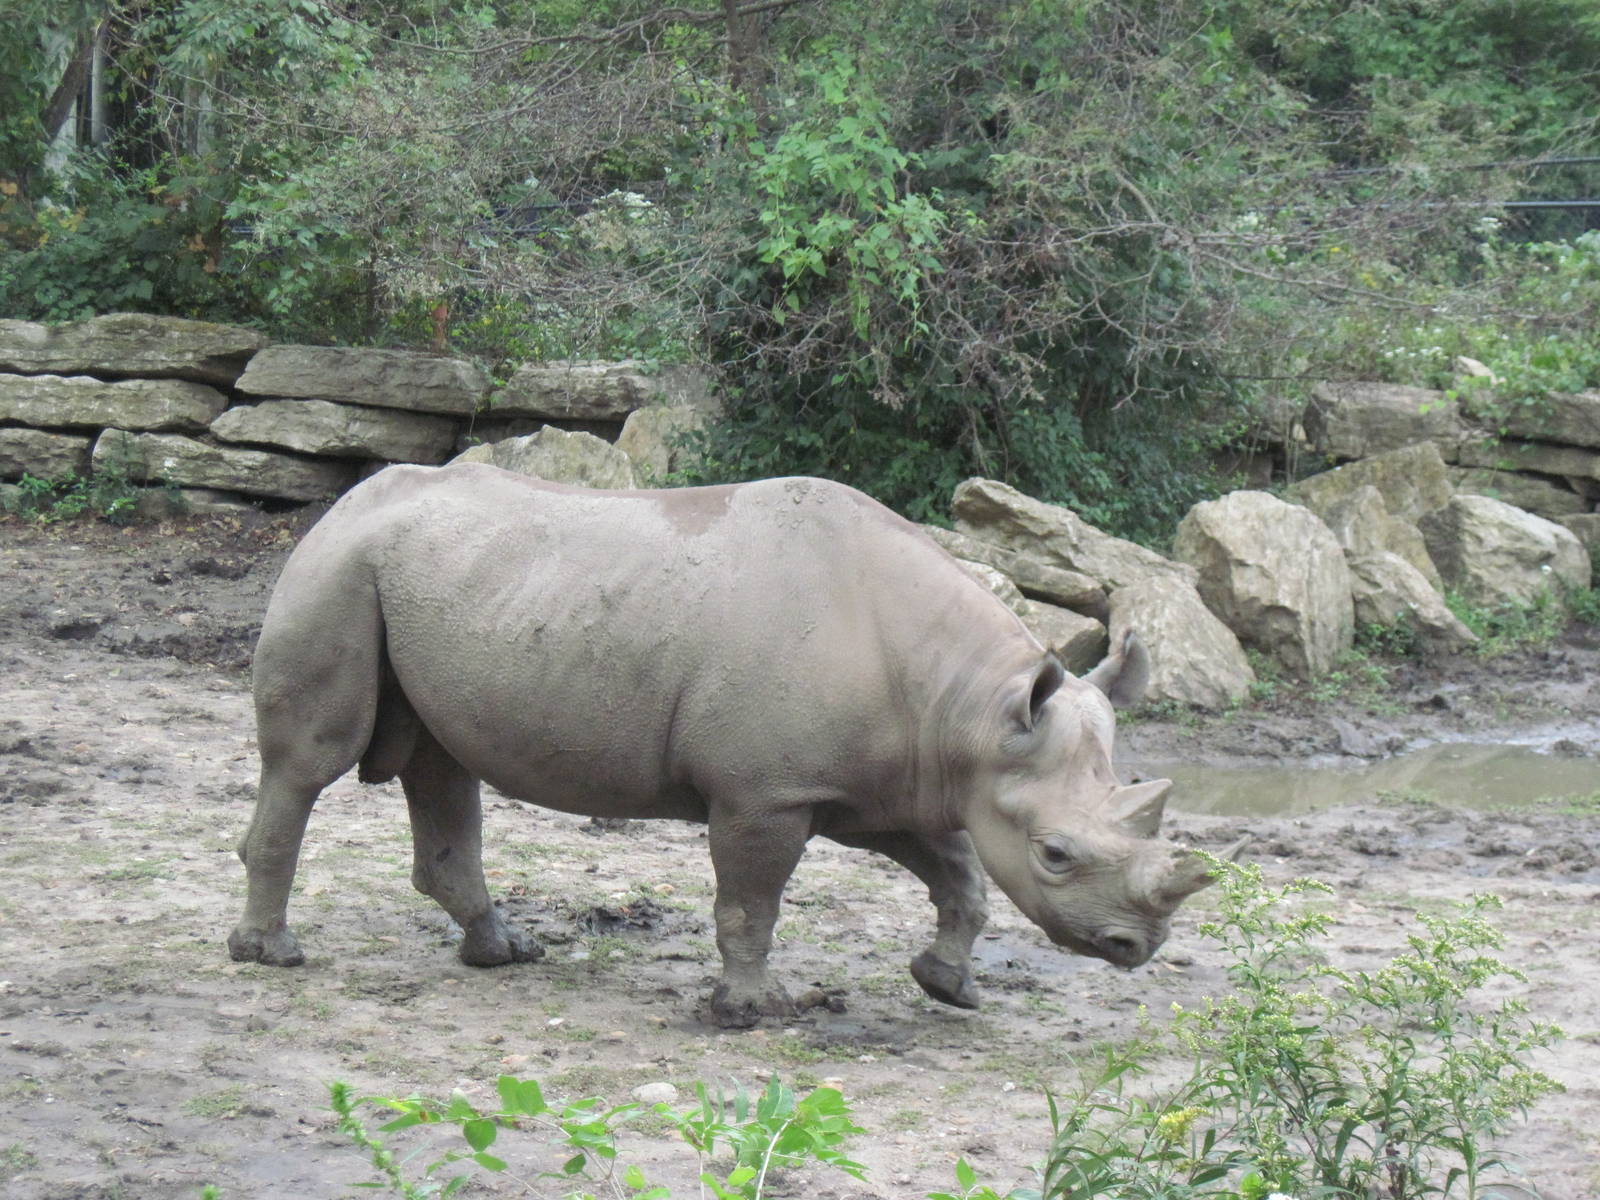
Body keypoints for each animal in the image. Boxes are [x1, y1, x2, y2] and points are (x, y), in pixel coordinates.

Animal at [229, 466, 1234, 1026]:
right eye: (1056, 854)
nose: (1136, 947)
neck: (971, 712)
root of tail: (343, 501)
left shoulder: (877, 783)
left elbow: (959, 871)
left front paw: (949, 988)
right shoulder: (768, 791)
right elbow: (752, 903)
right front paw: (751, 1012)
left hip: (435, 580)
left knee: (442, 766)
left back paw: (504, 952)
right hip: (338, 570)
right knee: (310, 764)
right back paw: (270, 958)